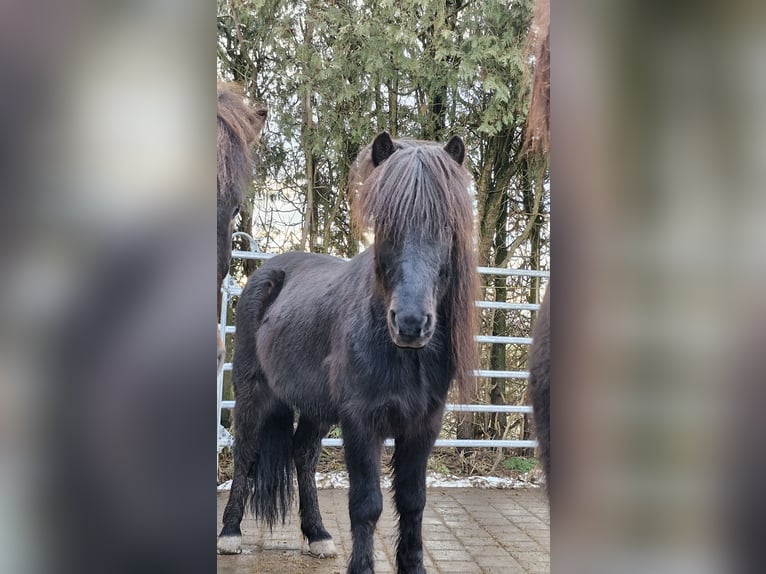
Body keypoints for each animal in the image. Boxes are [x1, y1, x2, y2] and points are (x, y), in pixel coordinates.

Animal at [217, 132, 479, 574]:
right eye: (385, 223)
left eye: (446, 225)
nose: (410, 323)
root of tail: (266, 271)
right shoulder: (361, 423)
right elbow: (367, 505)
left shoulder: (423, 426)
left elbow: (413, 502)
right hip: (252, 394)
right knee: (246, 455)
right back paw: (230, 534)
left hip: (317, 408)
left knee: (303, 455)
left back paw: (318, 535)